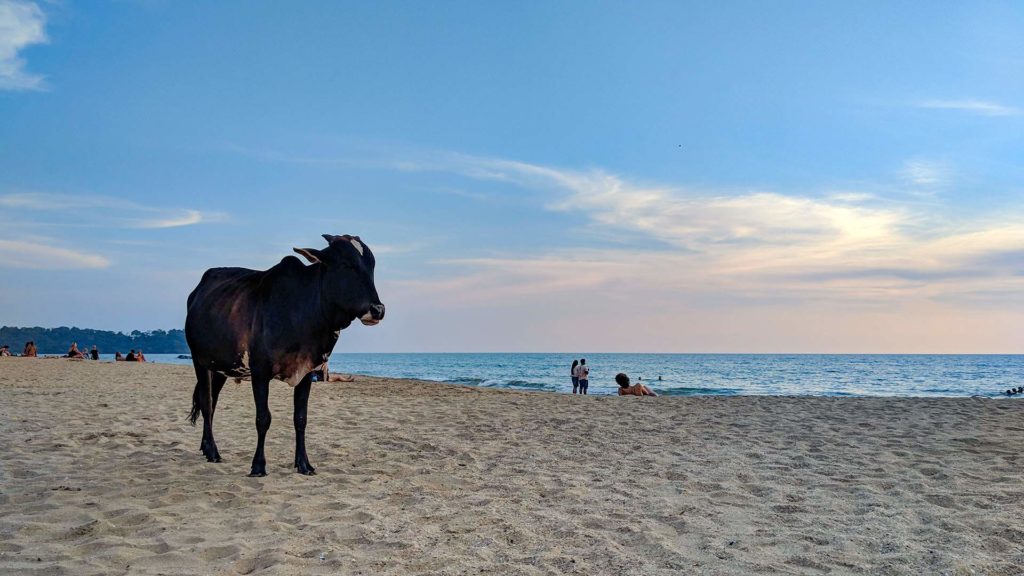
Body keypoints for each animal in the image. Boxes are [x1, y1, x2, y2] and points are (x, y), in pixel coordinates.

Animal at [185, 233, 385, 475]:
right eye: (347, 265)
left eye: (371, 266)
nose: (378, 310)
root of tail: (196, 293)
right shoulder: (260, 372)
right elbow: (263, 418)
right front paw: (258, 465)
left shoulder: (307, 372)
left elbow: (300, 419)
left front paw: (303, 464)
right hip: (200, 361)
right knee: (206, 403)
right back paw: (213, 452)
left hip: (221, 367)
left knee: (212, 403)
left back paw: (207, 448)